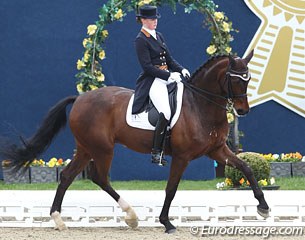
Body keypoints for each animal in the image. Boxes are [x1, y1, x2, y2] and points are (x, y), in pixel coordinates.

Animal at [1, 49, 268, 233]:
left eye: (248, 78)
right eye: (235, 79)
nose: (243, 111)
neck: (200, 105)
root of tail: (80, 98)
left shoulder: (216, 150)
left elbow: (247, 168)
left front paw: (263, 207)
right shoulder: (182, 157)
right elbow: (171, 188)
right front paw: (166, 222)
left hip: (86, 148)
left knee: (68, 176)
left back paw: (59, 219)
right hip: (102, 149)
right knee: (99, 177)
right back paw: (130, 216)